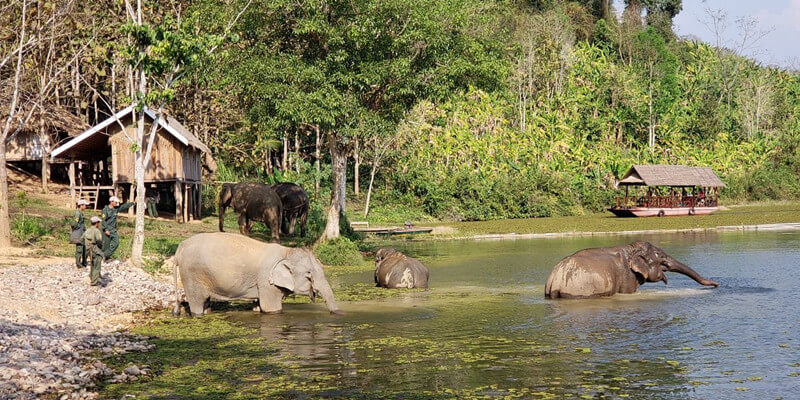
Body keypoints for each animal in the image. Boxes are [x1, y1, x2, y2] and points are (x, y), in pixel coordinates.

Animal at [171, 232, 342, 316]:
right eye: (309, 275)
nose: (339, 313)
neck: (286, 251)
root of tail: (179, 247)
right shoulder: (266, 281)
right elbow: (271, 309)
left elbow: (259, 307)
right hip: (191, 275)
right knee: (197, 303)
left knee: (206, 303)